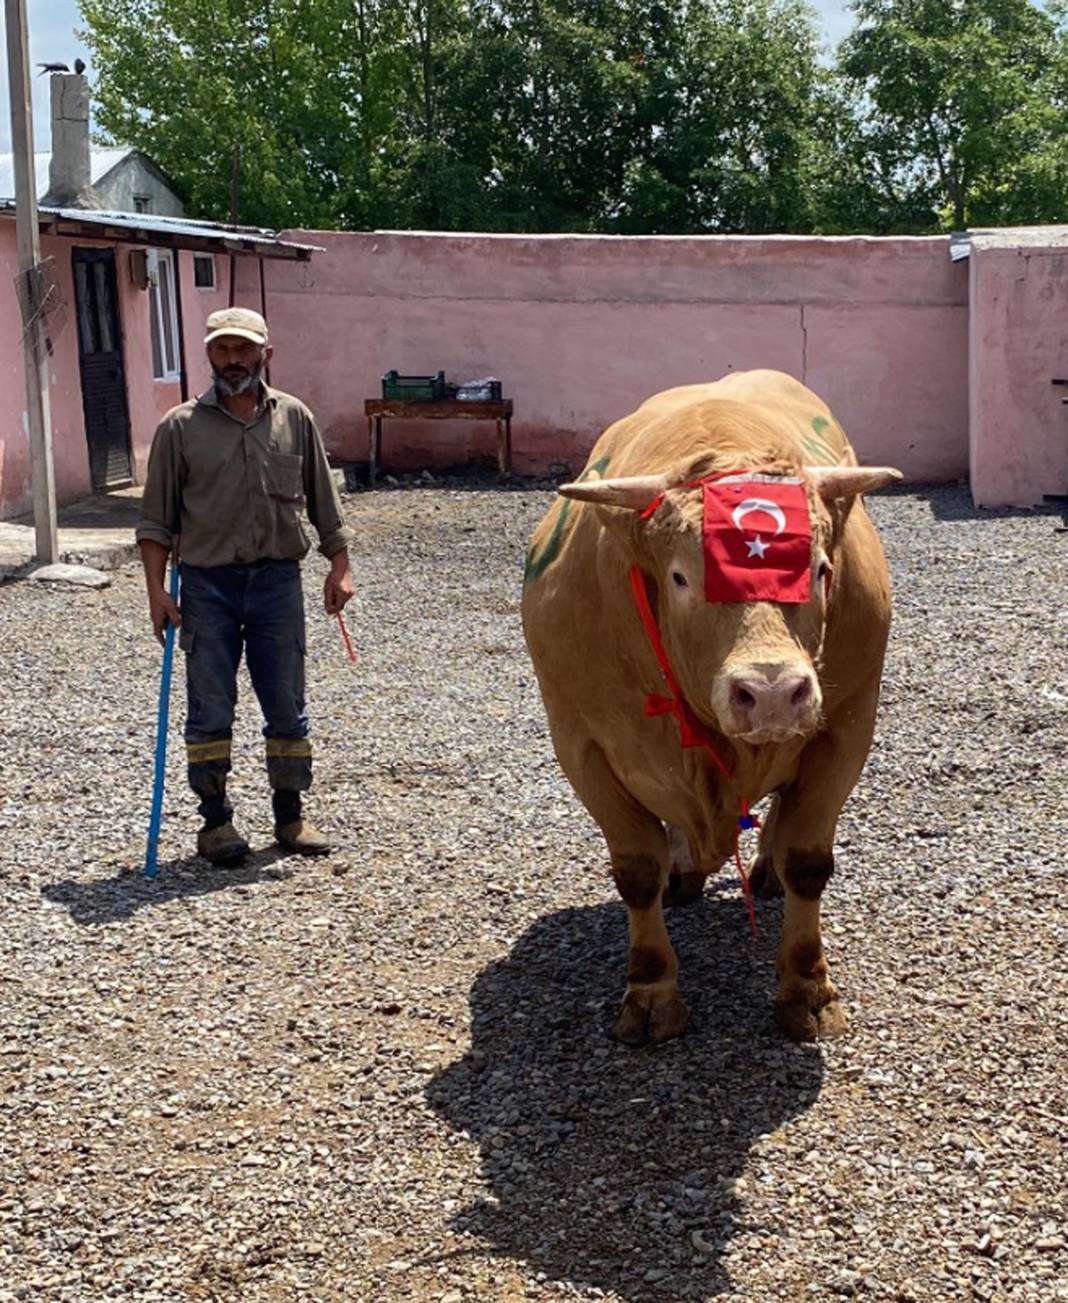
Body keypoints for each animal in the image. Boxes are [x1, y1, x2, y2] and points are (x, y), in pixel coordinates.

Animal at [520, 372, 896, 1042]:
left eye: (822, 569)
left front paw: (808, 988)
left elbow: (808, 859)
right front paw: (649, 990)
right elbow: (636, 870)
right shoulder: (581, 744)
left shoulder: (848, 726)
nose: (771, 691)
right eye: (679, 578)